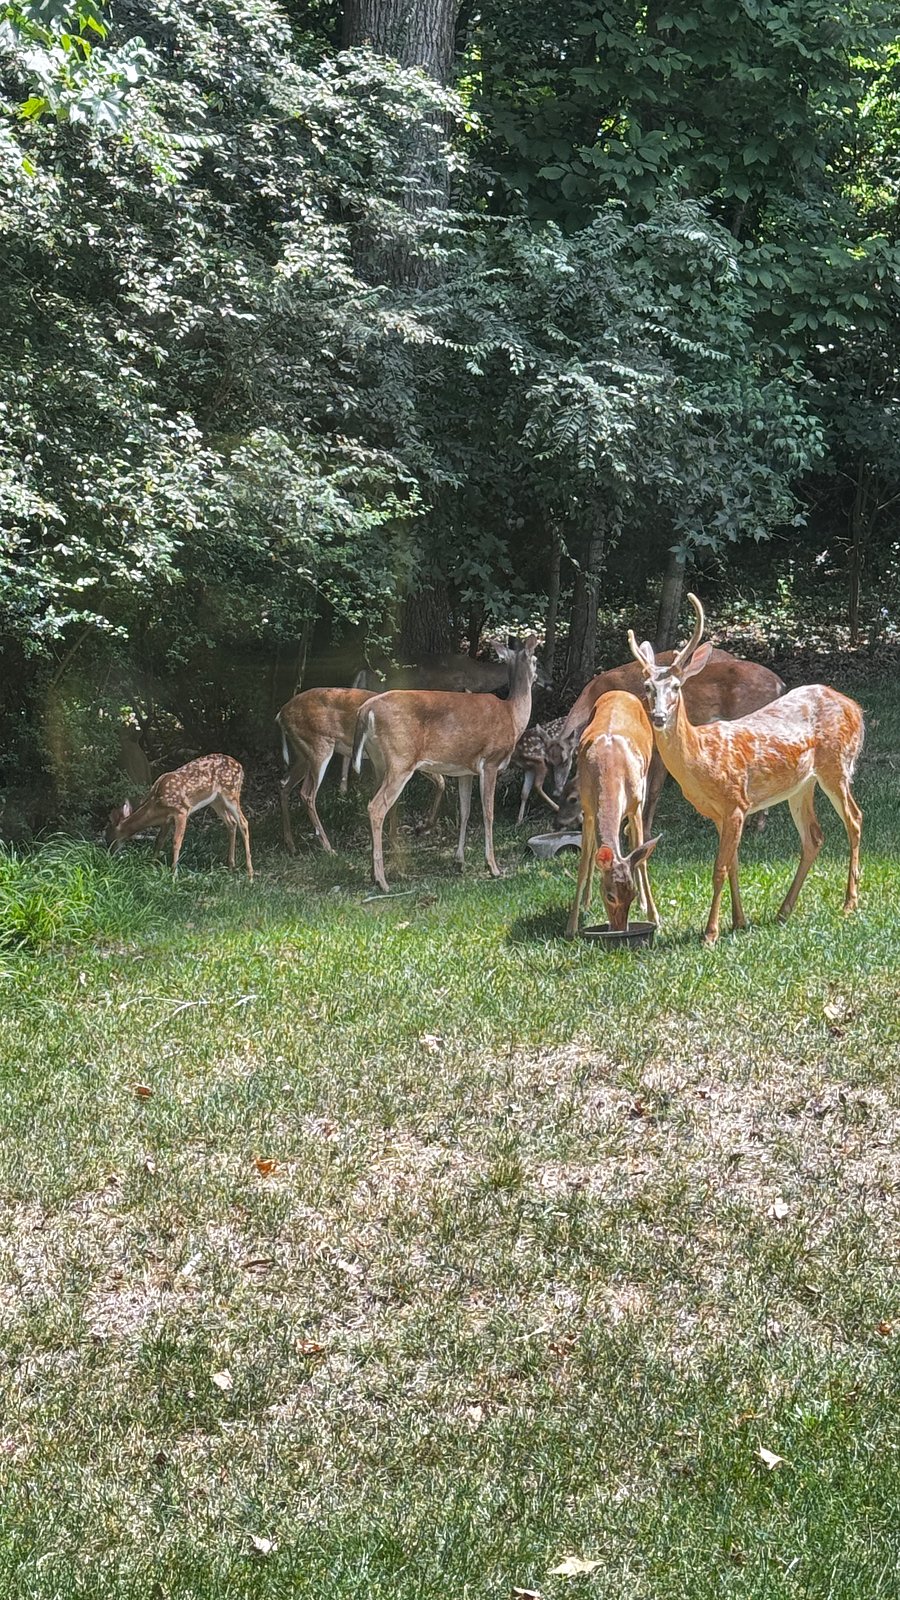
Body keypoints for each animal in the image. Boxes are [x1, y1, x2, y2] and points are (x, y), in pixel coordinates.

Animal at [105, 755, 253, 879]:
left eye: (109, 838)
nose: (109, 854)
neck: (155, 805)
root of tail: (240, 766)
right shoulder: (167, 819)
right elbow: (159, 840)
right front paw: (151, 865)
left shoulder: (181, 811)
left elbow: (176, 842)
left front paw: (174, 874)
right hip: (216, 800)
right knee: (231, 823)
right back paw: (231, 867)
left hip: (231, 793)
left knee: (243, 823)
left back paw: (250, 875)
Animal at [276, 687, 445, 854]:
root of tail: (281, 714)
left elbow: (440, 782)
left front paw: (398, 841)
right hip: (319, 746)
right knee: (307, 794)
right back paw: (329, 849)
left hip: (304, 754)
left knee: (284, 784)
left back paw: (291, 845)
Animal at [352, 636, 539, 892]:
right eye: (536, 660)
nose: (539, 675)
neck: (512, 715)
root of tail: (365, 710)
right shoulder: (490, 763)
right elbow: (488, 814)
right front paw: (493, 867)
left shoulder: (465, 770)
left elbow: (465, 811)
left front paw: (459, 861)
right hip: (400, 758)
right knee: (376, 806)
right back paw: (382, 880)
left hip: (379, 762)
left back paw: (374, 874)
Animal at [565, 693, 660, 938]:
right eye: (610, 895)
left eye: (632, 893)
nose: (620, 929)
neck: (609, 770)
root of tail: (619, 692)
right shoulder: (588, 809)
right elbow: (584, 863)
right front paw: (572, 926)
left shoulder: (635, 805)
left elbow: (641, 860)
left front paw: (653, 915)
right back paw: (586, 902)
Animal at [627, 594, 864, 945]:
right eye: (646, 686)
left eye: (676, 686)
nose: (657, 716)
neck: (702, 759)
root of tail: (856, 709)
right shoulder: (718, 813)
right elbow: (734, 865)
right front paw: (738, 921)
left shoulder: (737, 801)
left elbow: (719, 869)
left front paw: (710, 933)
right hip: (800, 785)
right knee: (814, 836)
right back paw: (783, 911)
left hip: (836, 765)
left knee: (855, 819)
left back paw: (849, 903)